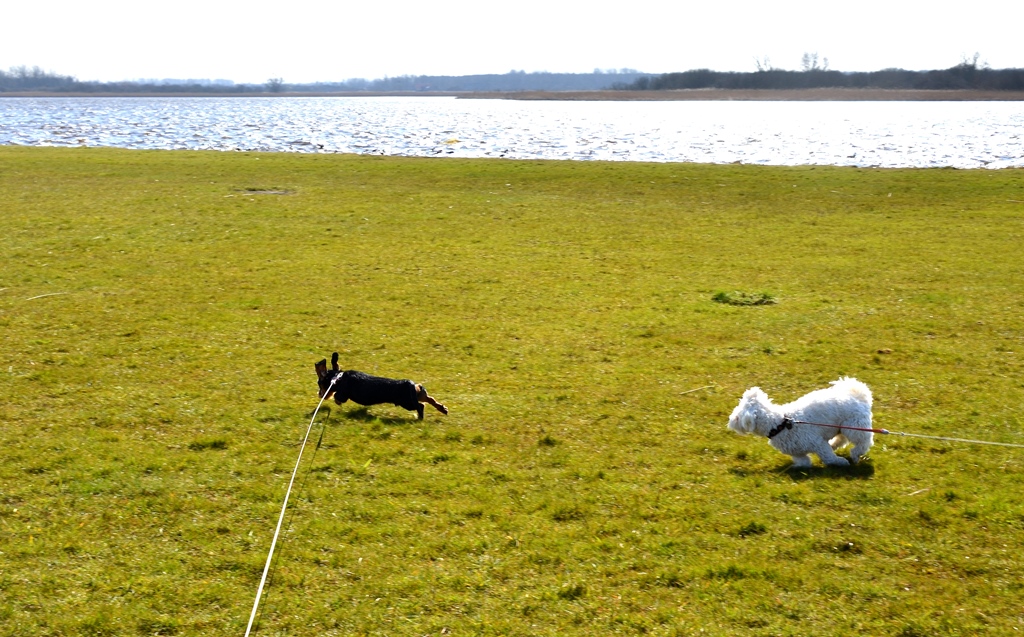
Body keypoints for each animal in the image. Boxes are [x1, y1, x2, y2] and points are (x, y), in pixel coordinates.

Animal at [315, 352, 448, 421]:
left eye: (319, 383)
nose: (319, 395)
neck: (338, 378)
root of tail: (412, 384)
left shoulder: (343, 394)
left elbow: (337, 397)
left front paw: (337, 402)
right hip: (415, 396)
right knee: (428, 399)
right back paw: (442, 409)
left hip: (407, 402)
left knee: (421, 406)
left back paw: (420, 417)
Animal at [729, 376, 872, 466]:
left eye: (737, 417)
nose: (729, 421)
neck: (780, 424)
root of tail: (859, 398)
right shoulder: (797, 452)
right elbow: (803, 461)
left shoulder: (818, 443)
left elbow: (828, 457)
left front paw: (840, 462)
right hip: (843, 427)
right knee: (842, 439)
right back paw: (834, 445)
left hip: (855, 426)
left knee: (864, 442)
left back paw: (855, 455)